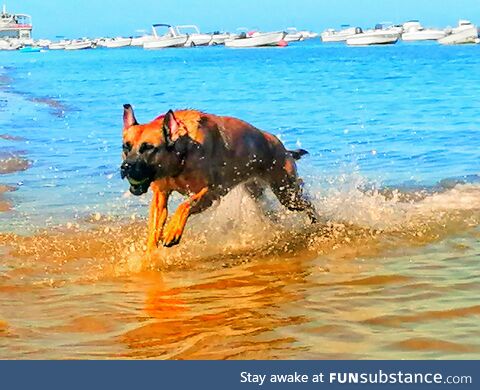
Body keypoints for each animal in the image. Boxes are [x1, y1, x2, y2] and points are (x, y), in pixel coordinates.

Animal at [120, 106, 316, 253]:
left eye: (148, 148)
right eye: (125, 147)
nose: (125, 167)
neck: (182, 153)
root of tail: (283, 148)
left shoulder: (212, 192)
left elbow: (185, 205)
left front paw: (172, 231)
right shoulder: (160, 195)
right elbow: (155, 225)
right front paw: (149, 254)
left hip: (287, 192)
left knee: (308, 204)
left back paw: (314, 222)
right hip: (257, 193)